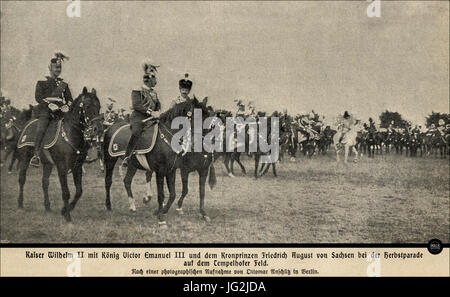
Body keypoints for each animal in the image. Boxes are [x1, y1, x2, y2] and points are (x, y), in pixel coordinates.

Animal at [16, 86, 101, 221]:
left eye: (99, 107)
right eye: (87, 106)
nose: (98, 129)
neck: (70, 134)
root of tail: (27, 124)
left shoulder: (77, 167)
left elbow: (79, 191)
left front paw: (65, 210)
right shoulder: (62, 167)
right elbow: (66, 192)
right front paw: (67, 216)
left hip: (47, 164)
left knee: (45, 182)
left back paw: (47, 207)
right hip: (25, 158)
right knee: (22, 179)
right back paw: (20, 205)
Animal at [103, 96, 215, 224]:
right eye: (199, 116)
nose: (209, 141)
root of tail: (111, 127)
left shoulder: (173, 169)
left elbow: (175, 193)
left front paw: (162, 211)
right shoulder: (163, 171)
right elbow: (162, 194)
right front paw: (161, 218)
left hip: (133, 165)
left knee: (127, 180)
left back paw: (132, 206)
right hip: (110, 160)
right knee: (108, 181)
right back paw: (108, 205)